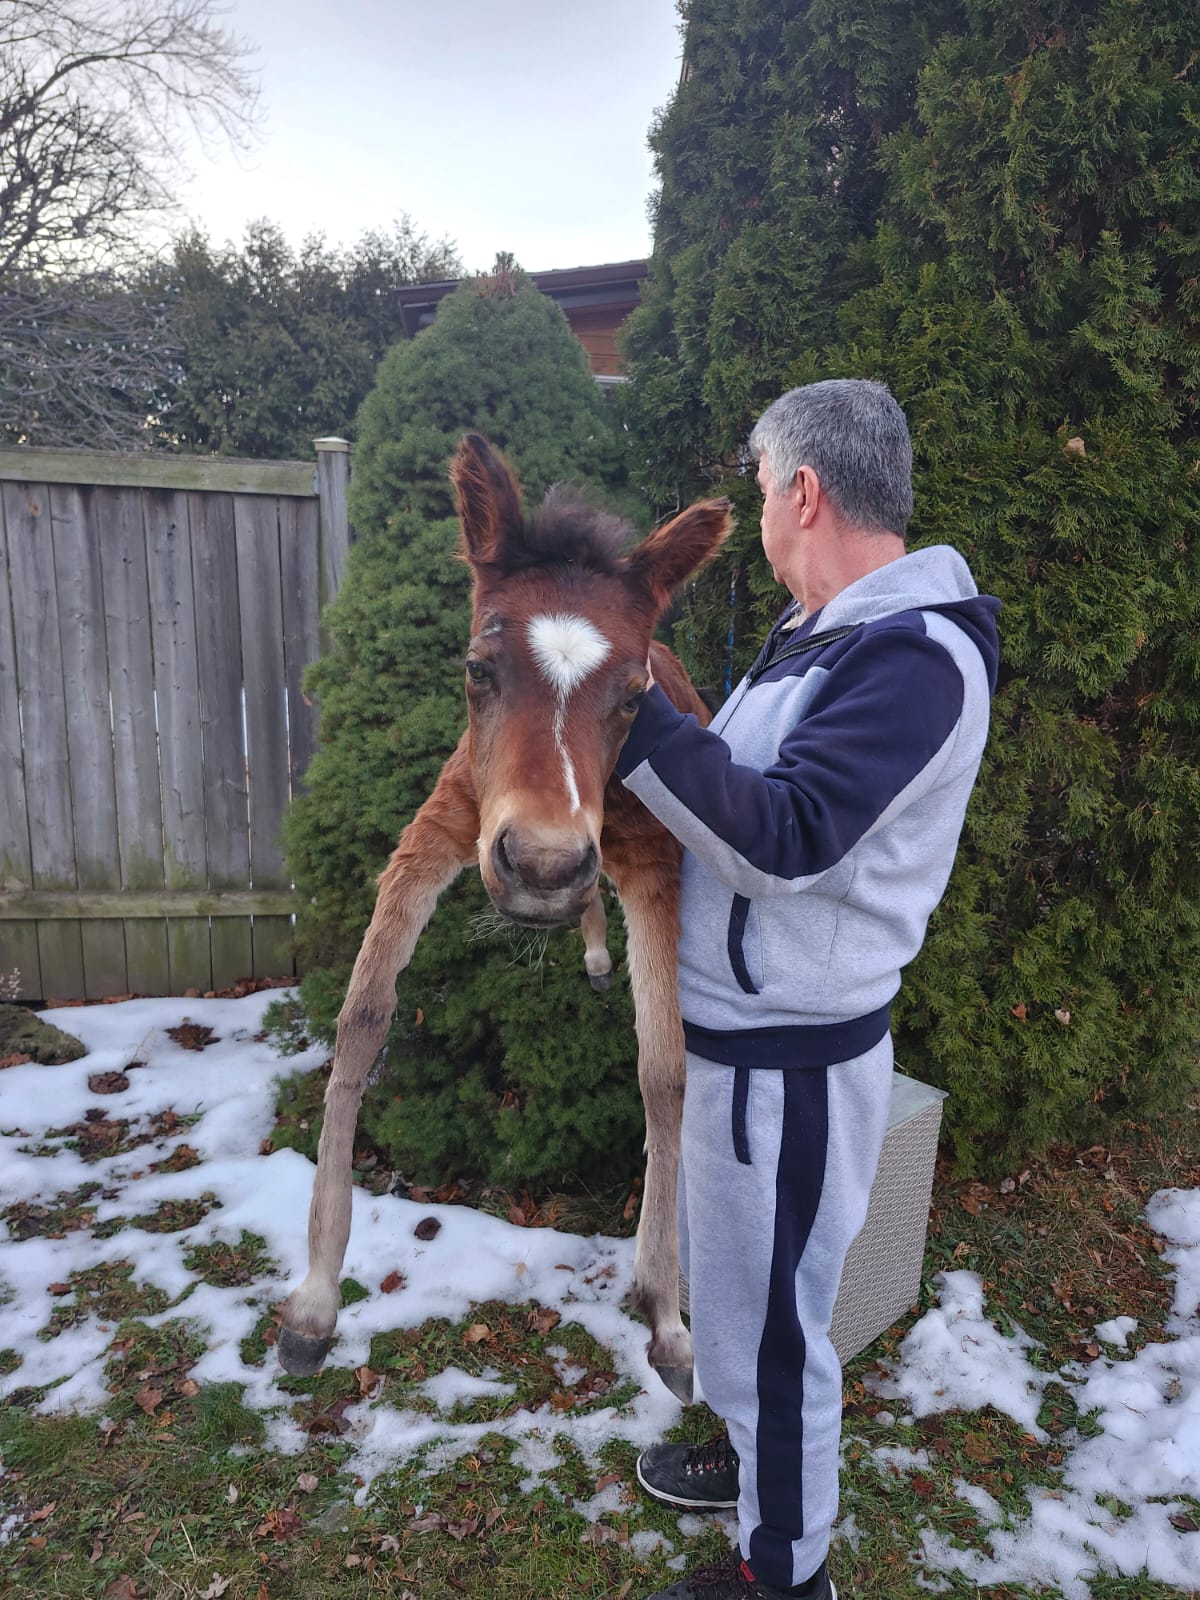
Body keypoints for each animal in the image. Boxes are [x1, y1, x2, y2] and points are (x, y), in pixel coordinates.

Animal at [277, 433, 733, 1403]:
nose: (543, 862)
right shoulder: (443, 828)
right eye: (478, 669)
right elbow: (362, 1019)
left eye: (633, 695)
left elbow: (666, 1073)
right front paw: (314, 1303)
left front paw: (670, 1322)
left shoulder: (654, 866)